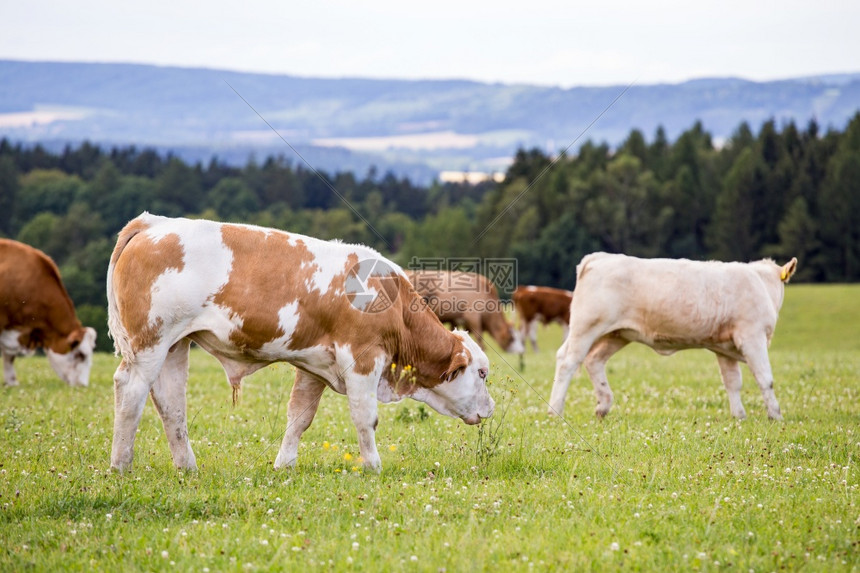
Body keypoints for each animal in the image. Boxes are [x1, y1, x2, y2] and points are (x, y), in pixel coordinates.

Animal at [552, 252, 800, 418]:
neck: (761, 283)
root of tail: (599, 257)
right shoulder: (752, 337)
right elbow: (766, 379)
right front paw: (776, 415)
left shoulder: (725, 347)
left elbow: (732, 382)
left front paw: (738, 416)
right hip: (586, 326)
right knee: (568, 361)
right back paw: (555, 410)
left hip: (617, 334)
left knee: (593, 360)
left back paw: (603, 406)